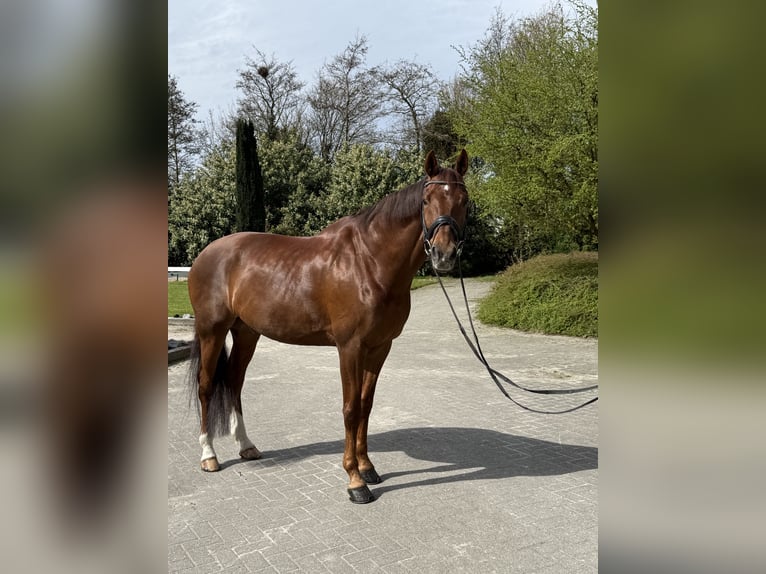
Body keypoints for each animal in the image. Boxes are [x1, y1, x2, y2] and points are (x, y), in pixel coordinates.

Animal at [187, 149, 469, 503]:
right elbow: (350, 409)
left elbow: (365, 406)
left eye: (463, 200)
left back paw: (247, 446)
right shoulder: (350, 347)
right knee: (207, 386)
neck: (369, 261)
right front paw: (355, 481)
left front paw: (367, 468)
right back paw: (208, 455)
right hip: (212, 330)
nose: (444, 255)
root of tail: (205, 254)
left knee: (234, 381)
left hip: (246, 332)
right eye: (427, 200)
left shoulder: (379, 347)